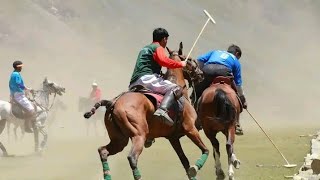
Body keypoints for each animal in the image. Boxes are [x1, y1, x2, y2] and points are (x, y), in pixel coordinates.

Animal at [85, 42, 210, 180]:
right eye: (191, 60)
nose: (201, 74)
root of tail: (113, 103)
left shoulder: (173, 138)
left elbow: (185, 161)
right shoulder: (190, 128)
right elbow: (205, 150)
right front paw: (196, 167)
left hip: (119, 140)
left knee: (103, 151)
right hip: (139, 134)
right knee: (132, 157)